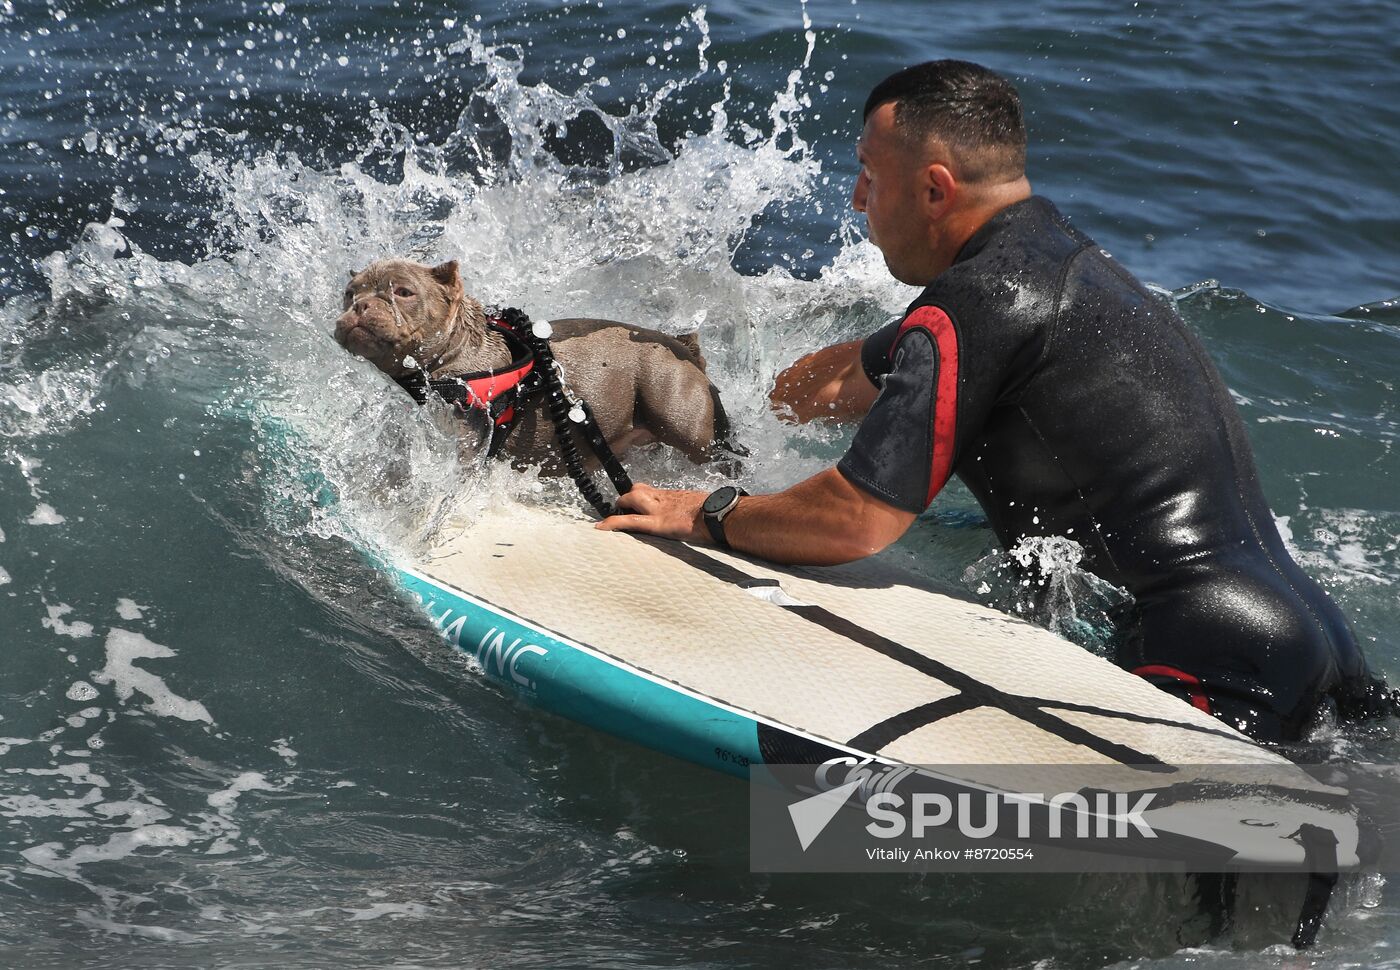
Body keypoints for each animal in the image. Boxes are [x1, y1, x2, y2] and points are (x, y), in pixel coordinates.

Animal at [336, 258, 733, 467]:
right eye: (349, 293)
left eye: (404, 292)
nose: (361, 305)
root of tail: (684, 348)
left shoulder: (463, 440)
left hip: (679, 415)